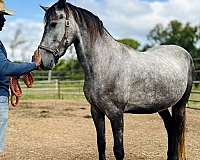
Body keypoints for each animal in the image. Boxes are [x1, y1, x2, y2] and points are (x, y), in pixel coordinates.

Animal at [36, 0, 193, 159]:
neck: (105, 63)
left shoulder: (116, 114)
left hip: (180, 104)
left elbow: (118, 150)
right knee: (170, 127)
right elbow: (101, 143)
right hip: (161, 105)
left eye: (53, 23)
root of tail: (184, 53)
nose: (42, 60)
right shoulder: (96, 111)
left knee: (177, 129)